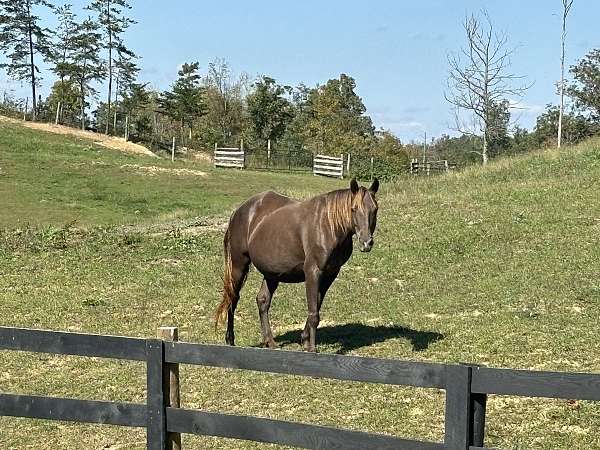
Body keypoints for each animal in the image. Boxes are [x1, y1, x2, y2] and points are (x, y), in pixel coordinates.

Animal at [213, 178, 378, 352]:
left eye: (375, 209)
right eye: (354, 208)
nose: (366, 242)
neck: (328, 224)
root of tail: (238, 211)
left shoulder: (330, 274)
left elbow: (316, 305)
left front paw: (304, 340)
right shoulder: (313, 272)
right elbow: (313, 313)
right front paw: (311, 348)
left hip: (272, 274)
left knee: (262, 300)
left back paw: (269, 342)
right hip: (239, 265)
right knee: (233, 297)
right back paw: (230, 339)